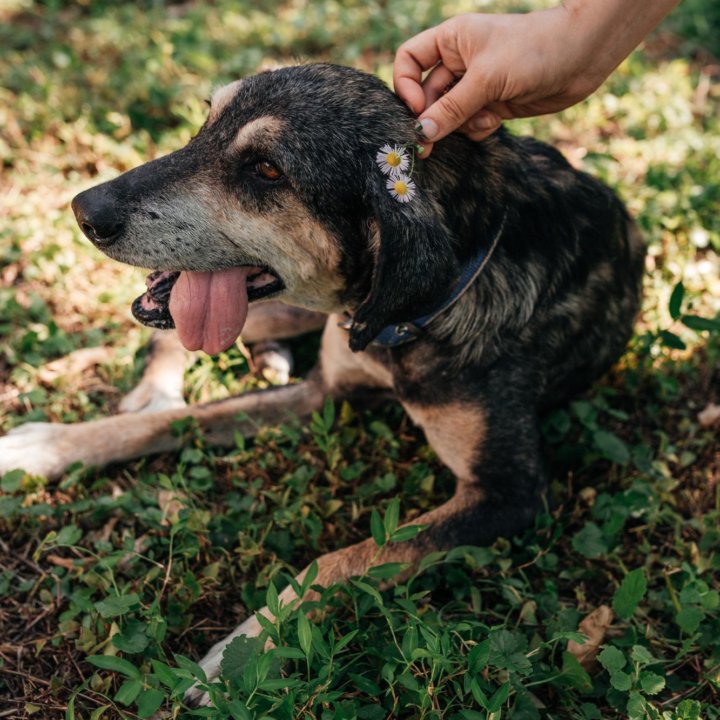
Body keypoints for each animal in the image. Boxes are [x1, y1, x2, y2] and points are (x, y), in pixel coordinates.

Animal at [0, 64, 640, 700]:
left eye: (266, 169)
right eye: (206, 121)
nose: (85, 210)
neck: (407, 317)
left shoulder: (509, 493)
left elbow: (354, 556)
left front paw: (246, 648)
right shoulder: (325, 391)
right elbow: (184, 419)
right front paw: (45, 446)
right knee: (177, 343)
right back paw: (158, 389)